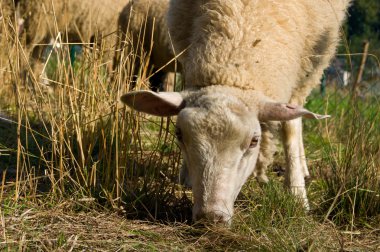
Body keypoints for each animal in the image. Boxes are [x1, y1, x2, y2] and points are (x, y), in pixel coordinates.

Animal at [121, 0, 350, 224]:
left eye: (254, 141)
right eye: (179, 135)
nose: (211, 217)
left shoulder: (306, 66)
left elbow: (291, 127)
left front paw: (297, 195)